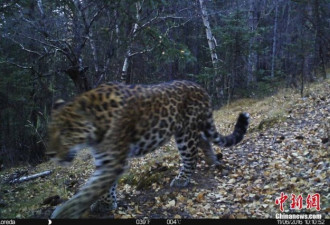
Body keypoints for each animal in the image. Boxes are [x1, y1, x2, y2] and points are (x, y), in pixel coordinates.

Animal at [48, 80, 250, 218]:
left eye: (66, 131)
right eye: (51, 130)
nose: (50, 154)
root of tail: (201, 88)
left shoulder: (113, 161)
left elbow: (89, 190)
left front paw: (65, 211)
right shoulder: (106, 159)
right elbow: (104, 186)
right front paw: (107, 203)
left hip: (185, 132)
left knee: (191, 157)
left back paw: (182, 179)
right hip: (192, 129)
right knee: (204, 141)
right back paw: (212, 161)